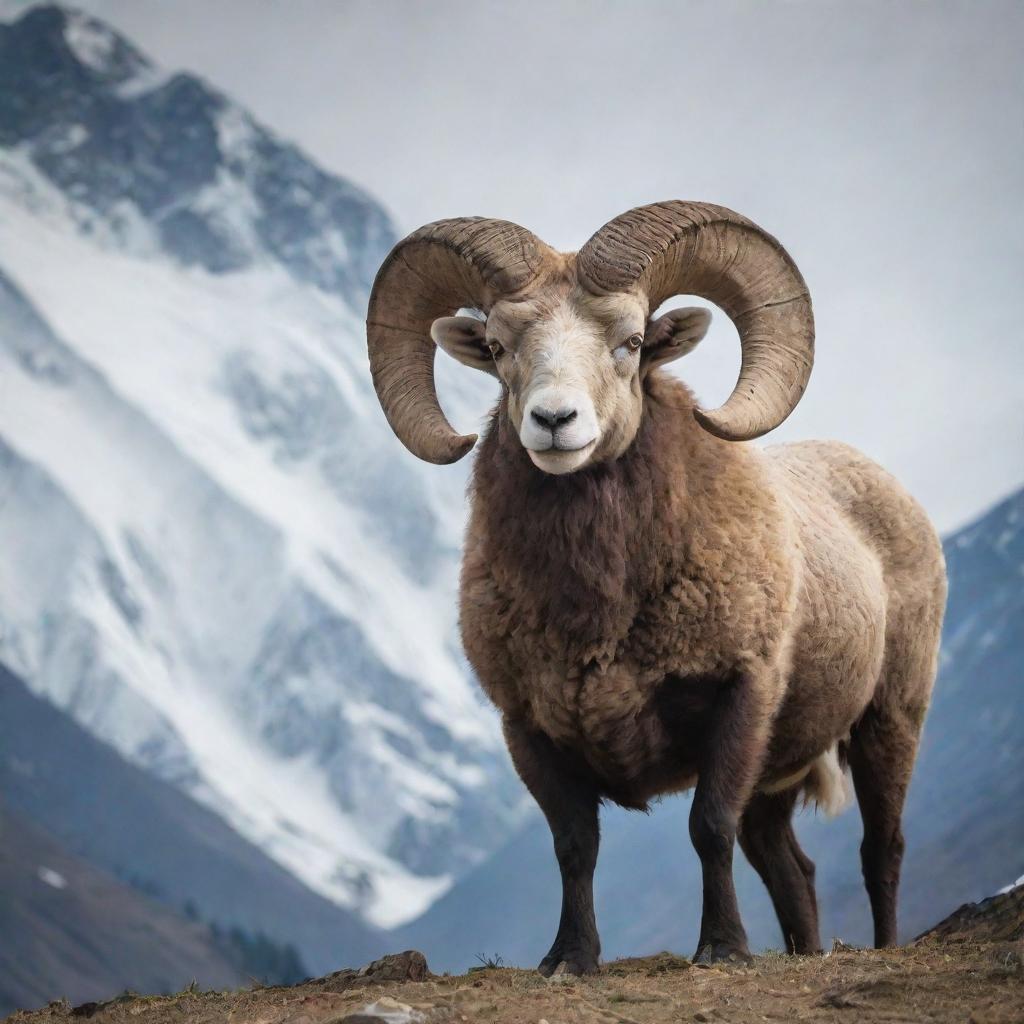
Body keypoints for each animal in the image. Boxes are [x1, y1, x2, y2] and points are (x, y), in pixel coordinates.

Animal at [366, 201, 942, 974]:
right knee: (790, 868)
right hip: (777, 774)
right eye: (496, 344)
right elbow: (575, 847)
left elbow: (707, 829)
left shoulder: (739, 697)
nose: (554, 421)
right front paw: (569, 959)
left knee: (882, 849)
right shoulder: (529, 730)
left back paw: (883, 947)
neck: (602, 616)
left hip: (890, 719)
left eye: (633, 341)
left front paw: (721, 950)